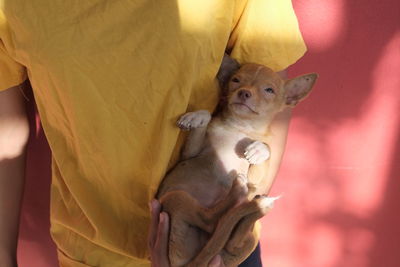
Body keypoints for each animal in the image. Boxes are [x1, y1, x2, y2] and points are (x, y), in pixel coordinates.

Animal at [158, 61, 318, 267]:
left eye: (269, 90)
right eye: (236, 80)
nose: (244, 93)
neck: (240, 127)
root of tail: (194, 262)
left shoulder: (255, 177)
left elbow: (265, 150)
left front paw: (259, 149)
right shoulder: (189, 154)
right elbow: (206, 116)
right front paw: (196, 117)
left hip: (243, 235)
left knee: (224, 233)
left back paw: (253, 203)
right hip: (176, 198)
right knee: (214, 223)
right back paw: (249, 200)